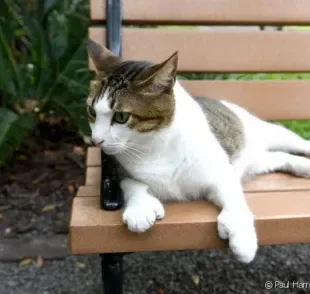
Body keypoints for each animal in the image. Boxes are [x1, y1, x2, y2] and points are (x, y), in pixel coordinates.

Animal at [86, 39, 310, 264]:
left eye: (121, 116)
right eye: (91, 111)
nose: (96, 140)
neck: (152, 145)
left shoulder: (220, 170)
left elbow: (233, 197)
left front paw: (243, 239)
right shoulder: (117, 166)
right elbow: (131, 183)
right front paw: (140, 208)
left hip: (271, 133)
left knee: (296, 144)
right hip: (257, 160)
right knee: (278, 156)